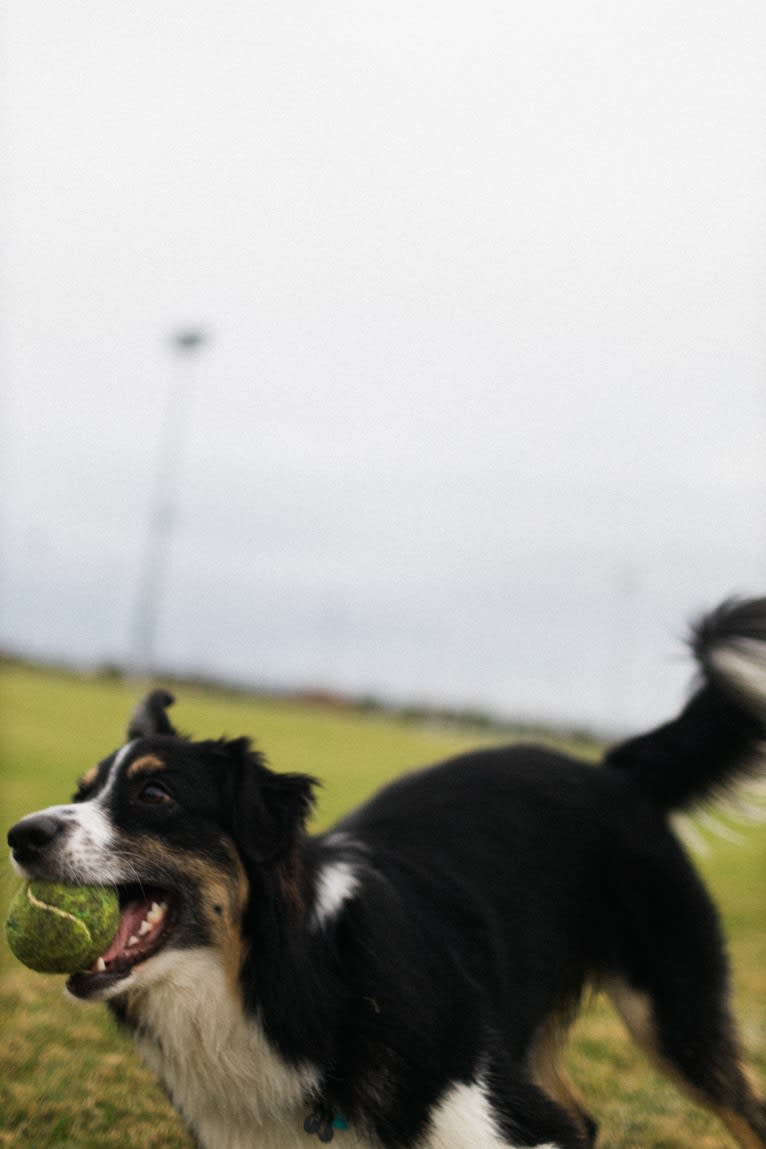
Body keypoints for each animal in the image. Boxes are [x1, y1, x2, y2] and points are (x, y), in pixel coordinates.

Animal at [5, 597, 766, 1144]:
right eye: (82, 790)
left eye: (155, 795)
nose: (20, 835)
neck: (284, 985)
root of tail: (614, 771)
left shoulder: (503, 1117)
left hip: (674, 1010)